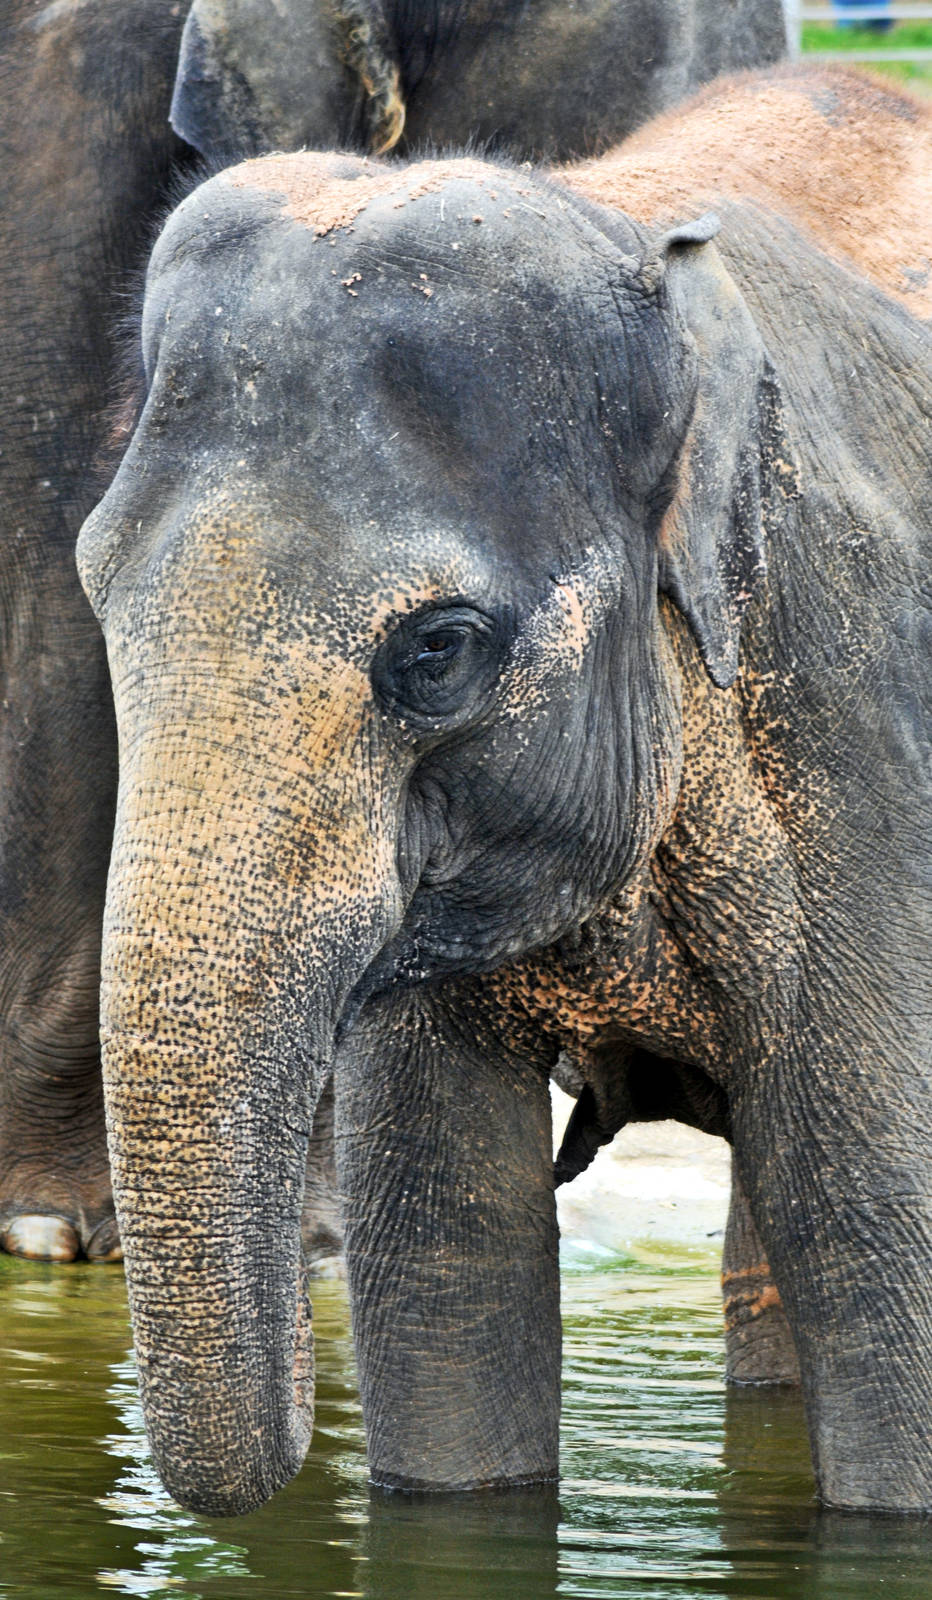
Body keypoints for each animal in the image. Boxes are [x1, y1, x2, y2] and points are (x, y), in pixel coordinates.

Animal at [77, 60, 932, 1518]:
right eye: (94, 584)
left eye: (437, 650)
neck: (623, 223)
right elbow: (442, 1259)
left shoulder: (857, 715)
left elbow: (882, 1225)